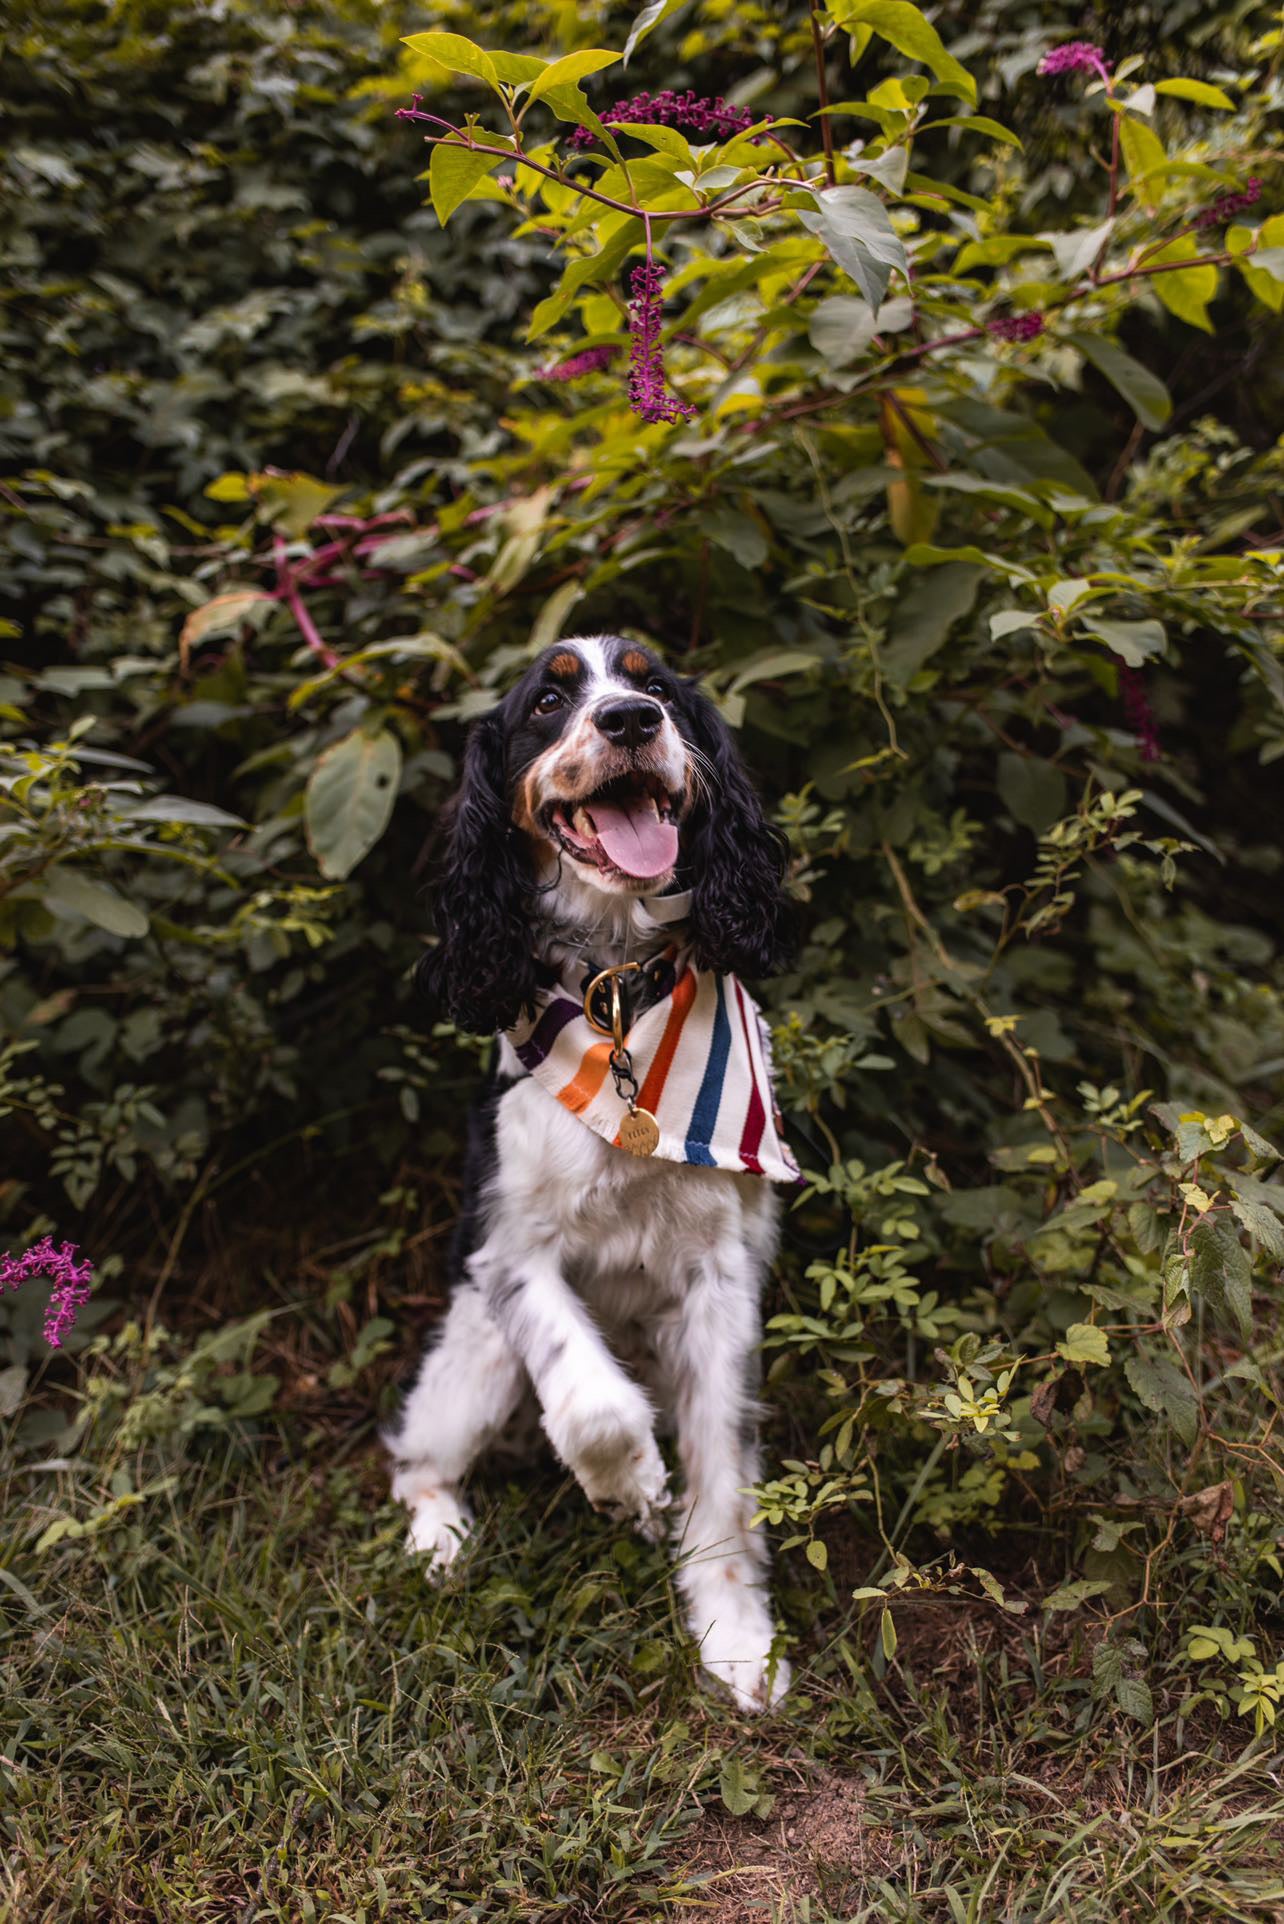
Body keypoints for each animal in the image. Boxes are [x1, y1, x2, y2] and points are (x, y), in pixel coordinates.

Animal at [386, 634, 796, 1716]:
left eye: (657, 688)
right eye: (548, 700)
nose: (628, 722)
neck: (618, 997)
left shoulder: (720, 1285)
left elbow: (721, 1482)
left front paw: (738, 1638)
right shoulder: (510, 1250)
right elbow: (598, 1403)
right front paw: (630, 1485)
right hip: (475, 1358)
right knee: (416, 1458)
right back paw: (442, 1540)